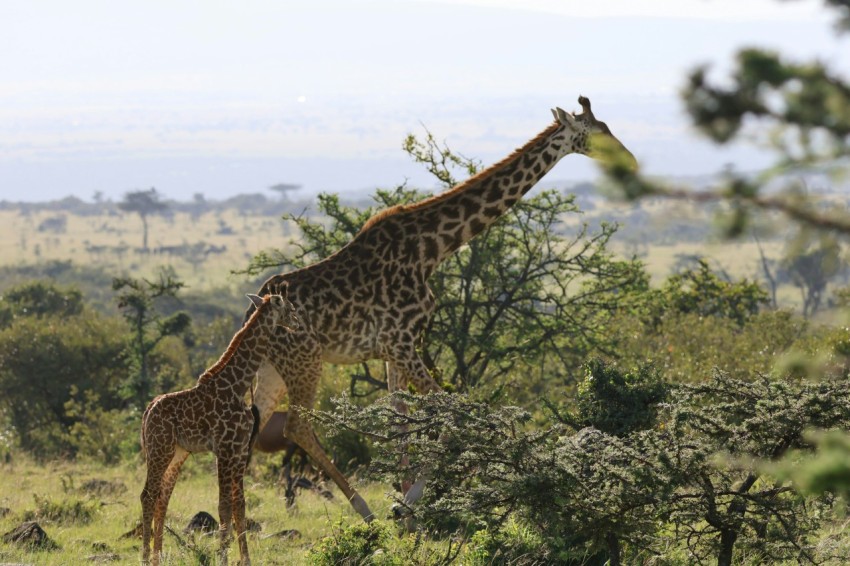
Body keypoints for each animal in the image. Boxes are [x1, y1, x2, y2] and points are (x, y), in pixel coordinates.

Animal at [140, 286, 298, 564]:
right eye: (289, 307)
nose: (298, 323)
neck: (237, 386)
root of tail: (148, 411)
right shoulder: (224, 449)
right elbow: (224, 506)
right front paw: (223, 557)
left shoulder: (240, 450)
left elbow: (240, 505)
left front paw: (245, 559)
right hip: (160, 449)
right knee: (148, 495)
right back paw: (146, 558)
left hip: (176, 453)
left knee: (161, 498)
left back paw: (157, 556)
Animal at [248, 96, 632, 524]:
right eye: (599, 132)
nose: (630, 161)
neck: (431, 249)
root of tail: (254, 307)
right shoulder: (401, 342)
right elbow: (454, 407)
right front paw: (411, 500)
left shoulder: (392, 348)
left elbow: (400, 416)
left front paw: (404, 504)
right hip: (305, 362)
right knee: (294, 426)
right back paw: (363, 509)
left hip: (273, 369)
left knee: (252, 424)